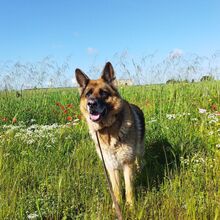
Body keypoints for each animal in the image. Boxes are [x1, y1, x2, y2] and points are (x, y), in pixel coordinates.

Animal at [75, 62, 145, 206]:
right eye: (88, 94)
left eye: (103, 93)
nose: (91, 104)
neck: (108, 130)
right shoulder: (111, 166)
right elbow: (116, 189)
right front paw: (117, 205)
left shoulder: (127, 164)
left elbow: (129, 188)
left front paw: (131, 207)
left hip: (139, 151)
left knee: (139, 160)